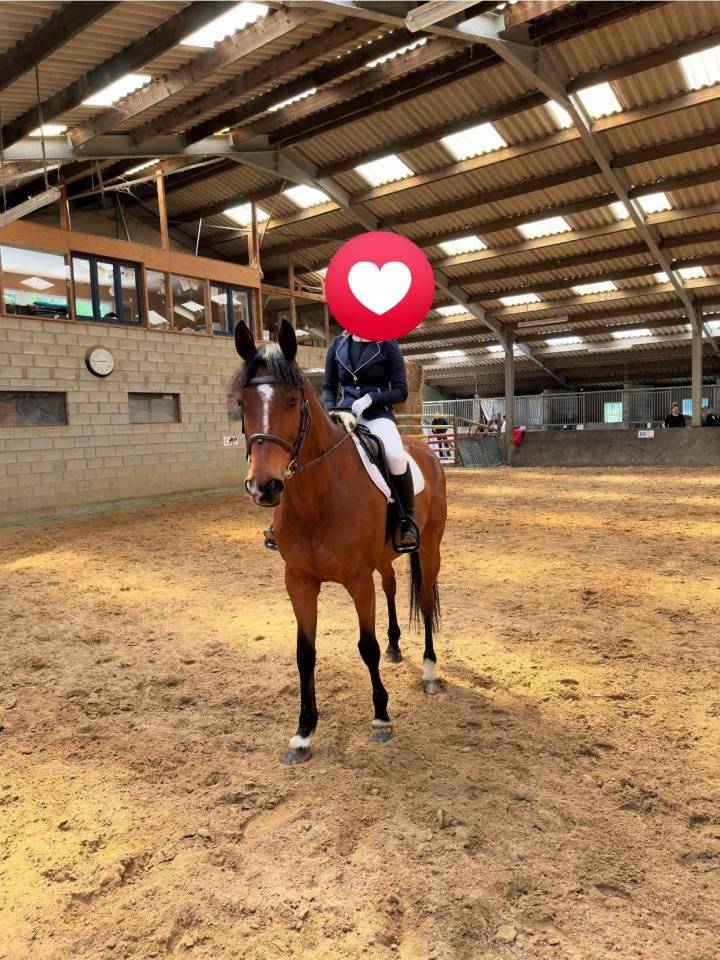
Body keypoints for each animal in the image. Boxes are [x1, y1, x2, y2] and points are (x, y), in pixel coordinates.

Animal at [230, 319, 447, 764]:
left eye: (293, 401)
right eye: (242, 402)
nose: (264, 487)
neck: (318, 497)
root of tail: (425, 451)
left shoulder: (357, 580)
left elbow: (367, 646)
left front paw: (381, 718)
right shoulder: (298, 582)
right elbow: (305, 653)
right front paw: (303, 732)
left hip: (430, 547)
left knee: (425, 597)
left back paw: (430, 672)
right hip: (384, 558)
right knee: (392, 585)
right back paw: (398, 647)